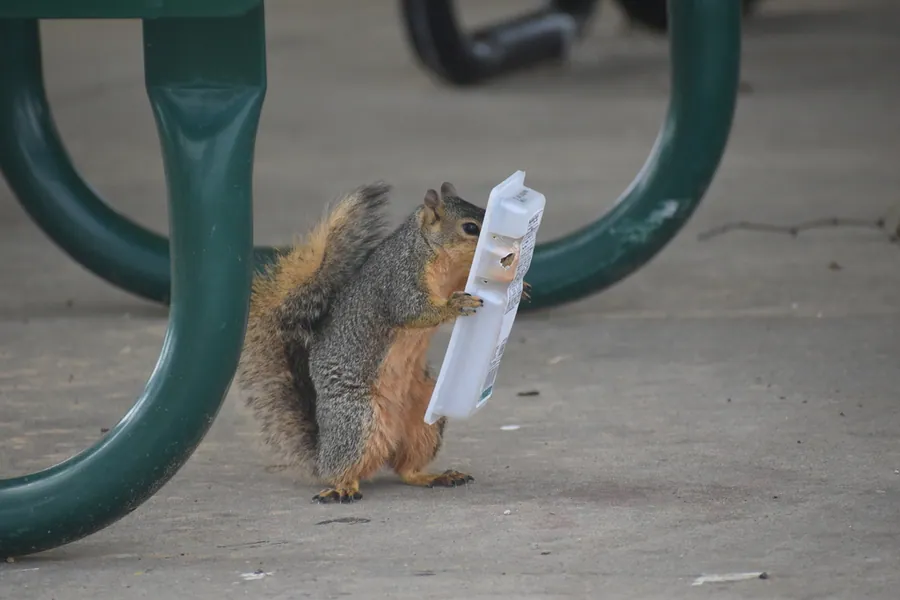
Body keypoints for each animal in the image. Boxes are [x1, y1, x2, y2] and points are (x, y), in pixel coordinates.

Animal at [237, 180, 497, 503]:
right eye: (470, 227)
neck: (428, 249)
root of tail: (321, 453)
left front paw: (522, 286)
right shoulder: (399, 280)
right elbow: (413, 310)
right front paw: (454, 306)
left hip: (424, 418)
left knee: (406, 468)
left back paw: (435, 476)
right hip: (357, 419)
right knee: (345, 468)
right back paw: (342, 488)